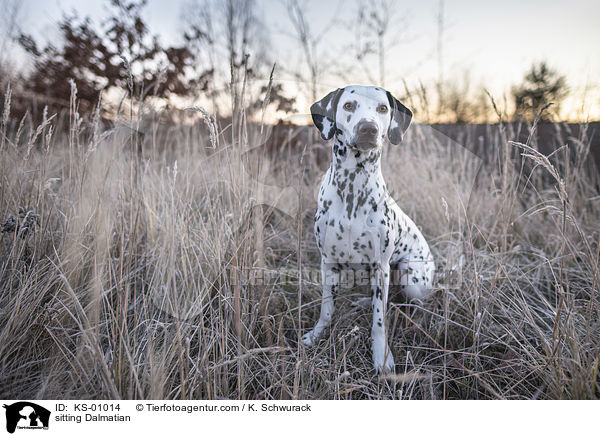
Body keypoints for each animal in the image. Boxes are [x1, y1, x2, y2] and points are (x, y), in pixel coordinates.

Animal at [302, 86, 434, 374]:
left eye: (383, 108)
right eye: (349, 105)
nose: (368, 129)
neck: (352, 187)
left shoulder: (380, 266)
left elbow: (379, 321)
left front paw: (381, 356)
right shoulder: (328, 263)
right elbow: (326, 309)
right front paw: (316, 335)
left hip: (410, 276)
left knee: (408, 303)